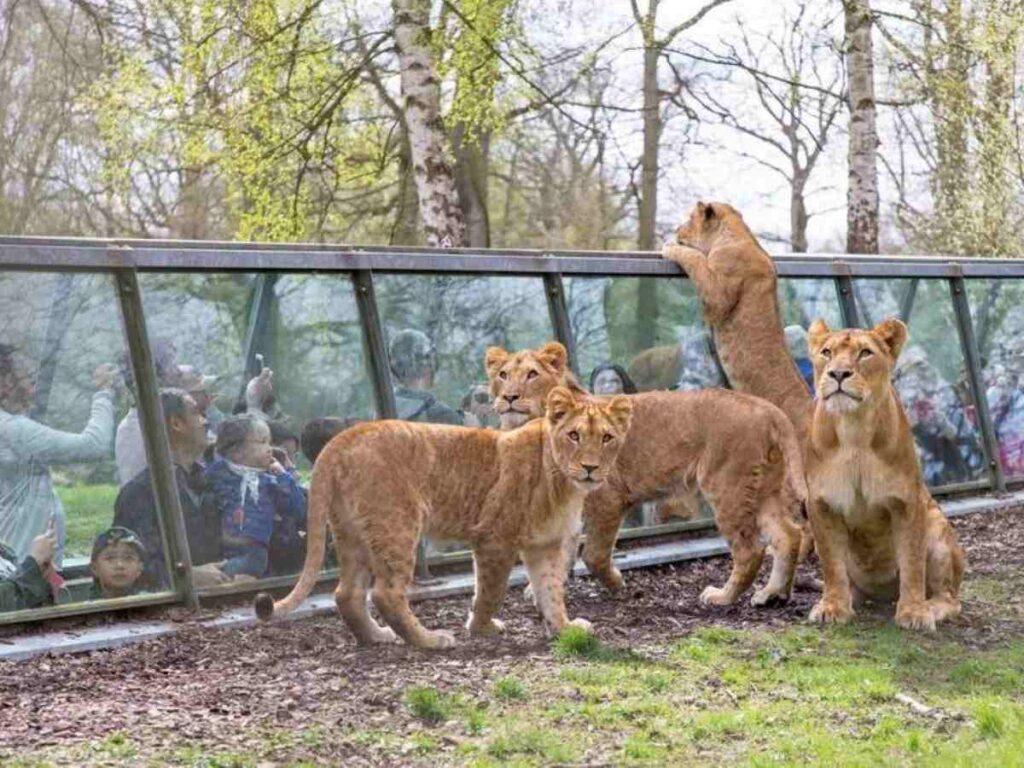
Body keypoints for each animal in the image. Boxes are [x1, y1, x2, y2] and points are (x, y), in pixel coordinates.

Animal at [252, 391, 630, 651]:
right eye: (574, 435)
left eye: (607, 438)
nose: (591, 468)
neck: (563, 484)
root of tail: (343, 438)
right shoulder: (495, 538)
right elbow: (490, 591)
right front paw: (481, 628)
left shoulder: (545, 545)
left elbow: (551, 590)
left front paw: (565, 628)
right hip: (398, 526)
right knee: (386, 594)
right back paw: (429, 640)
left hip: (351, 534)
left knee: (347, 594)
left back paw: (376, 637)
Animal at [487, 346, 806, 610]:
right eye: (503, 375)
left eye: (532, 374)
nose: (509, 397)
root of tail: (768, 408)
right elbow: (563, 552)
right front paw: (542, 591)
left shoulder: (608, 498)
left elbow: (594, 554)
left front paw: (617, 583)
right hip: (763, 490)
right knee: (788, 535)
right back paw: (772, 595)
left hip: (727, 487)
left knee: (751, 549)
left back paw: (722, 597)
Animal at [802, 319, 962, 630]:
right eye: (827, 352)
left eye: (865, 353)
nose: (838, 373)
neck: (853, 430)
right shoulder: (821, 505)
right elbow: (831, 565)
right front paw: (832, 607)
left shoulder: (907, 502)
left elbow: (912, 561)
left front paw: (913, 613)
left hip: (938, 531)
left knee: (951, 599)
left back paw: (930, 606)